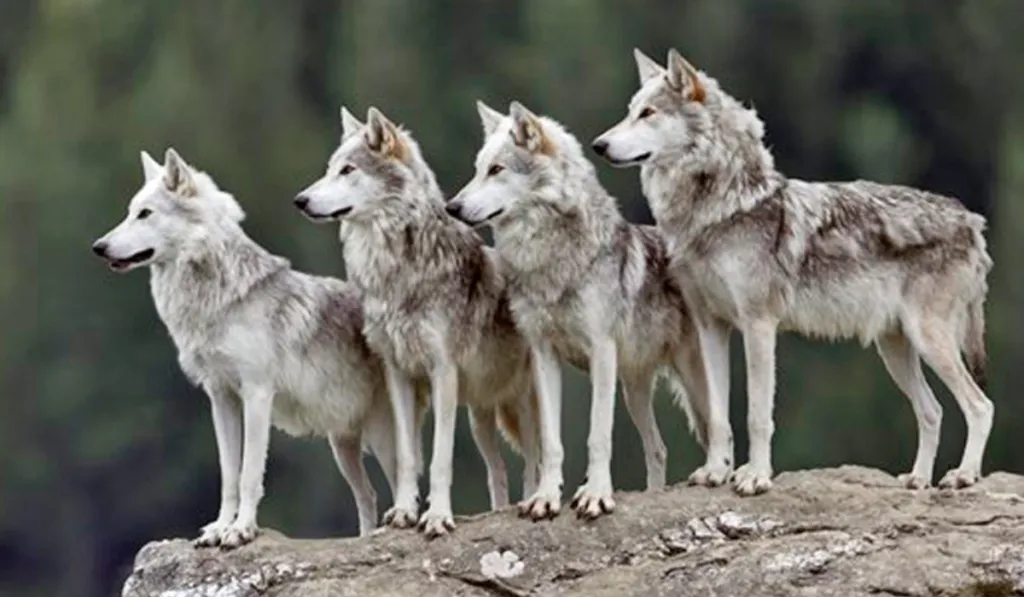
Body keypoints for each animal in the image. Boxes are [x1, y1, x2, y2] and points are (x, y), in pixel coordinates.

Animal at [91, 148, 421, 548]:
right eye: (130, 212)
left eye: (145, 213)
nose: (98, 247)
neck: (218, 300)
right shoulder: (221, 399)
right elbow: (229, 476)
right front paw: (219, 528)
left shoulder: (257, 395)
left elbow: (249, 474)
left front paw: (241, 530)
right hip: (342, 446)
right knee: (368, 496)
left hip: (382, 439)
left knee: (405, 483)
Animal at [294, 106, 541, 537]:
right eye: (329, 169)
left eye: (347, 170)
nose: (300, 200)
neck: (397, 271)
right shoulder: (398, 373)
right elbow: (408, 457)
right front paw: (405, 512)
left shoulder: (442, 372)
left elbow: (441, 459)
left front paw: (438, 516)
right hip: (480, 416)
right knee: (498, 469)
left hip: (519, 402)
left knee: (533, 459)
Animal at [447, 100, 717, 520]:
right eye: (478, 169)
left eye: (497, 169)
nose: (452, 206)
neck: (551, 262)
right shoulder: (544, 356)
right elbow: (552, 442)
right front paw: (545, 498)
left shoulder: (601, 352)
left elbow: (598, 435)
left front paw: (596, 495)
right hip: (634, 389)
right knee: (658, 448)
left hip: (690, 376)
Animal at [593, 48, 994, 494]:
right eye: (630, 111)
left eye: (648, 113)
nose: (598, 145)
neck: (718, 210)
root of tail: (971, 220)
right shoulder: (710, 327)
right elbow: (717, 416)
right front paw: (716, 471)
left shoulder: (758, 325)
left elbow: (756, 415)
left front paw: (755, 477)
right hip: (895, 349)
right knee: (933, 411)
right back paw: (918, 480)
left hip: (929, 340)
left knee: (980, 405)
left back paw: (963, 475)